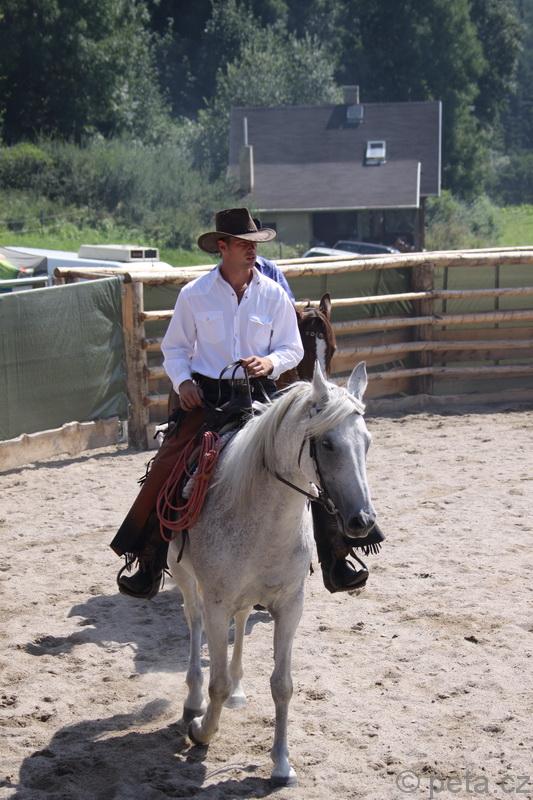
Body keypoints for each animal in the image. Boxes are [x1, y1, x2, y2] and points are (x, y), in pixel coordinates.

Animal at [168, 361, 376, 786]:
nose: (361, 521)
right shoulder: (216, 603)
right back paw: (192, 701)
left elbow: (282, 685)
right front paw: (202, 732)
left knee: (243, 618)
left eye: (366, 442)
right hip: (184, 577)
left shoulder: (290, 605)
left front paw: (281, 763)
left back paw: (238, 691)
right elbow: (216, 682)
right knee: (193, 622)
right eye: (327, 445)